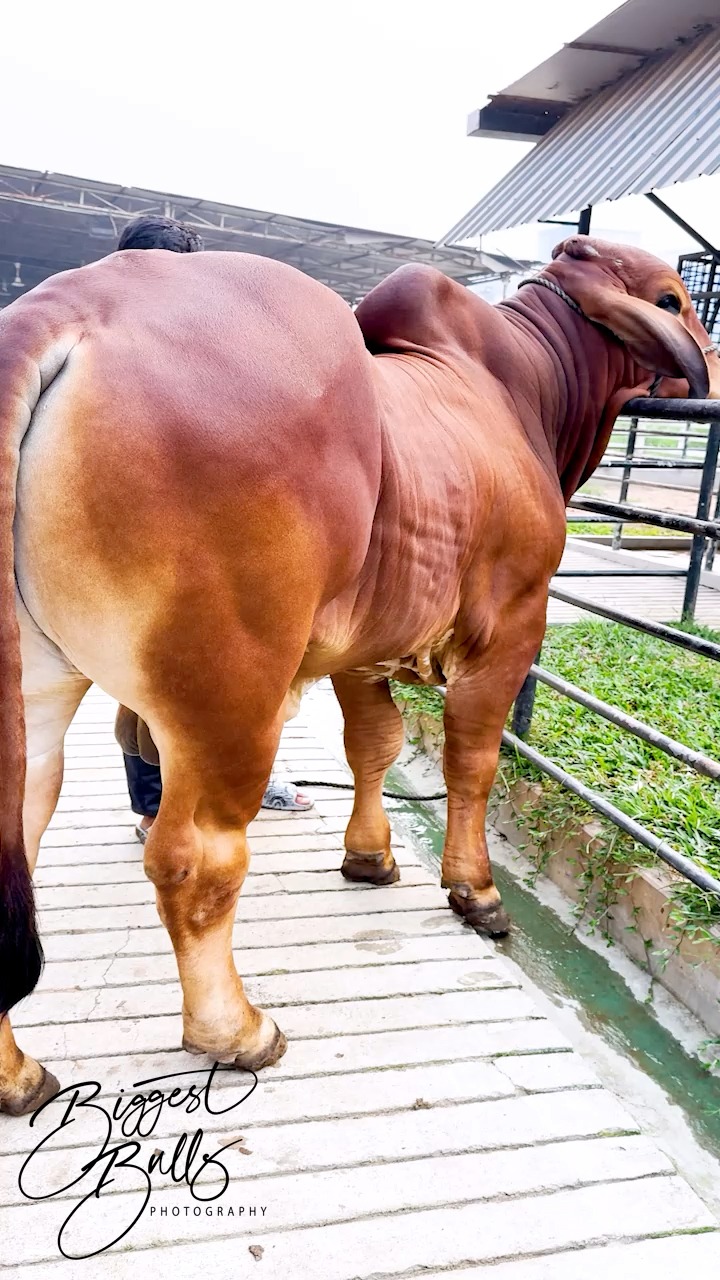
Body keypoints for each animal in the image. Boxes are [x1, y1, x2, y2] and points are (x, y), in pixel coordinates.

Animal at [0, 236, 718, 1115]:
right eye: (673, 297)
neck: (526, 389)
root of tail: (66, 306)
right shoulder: (512, 630)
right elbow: (471, 764)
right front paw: (475, 892)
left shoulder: (361, 651)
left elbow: (373, 745)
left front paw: (368, 859)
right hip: (230, 697)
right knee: (196, 859)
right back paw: (234, 1031)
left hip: (38, 687)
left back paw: (17, 1074)